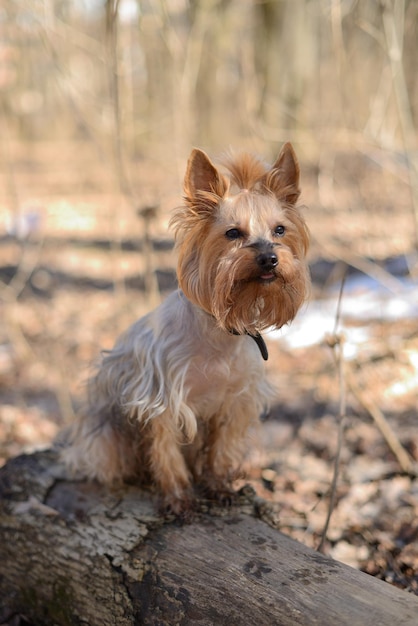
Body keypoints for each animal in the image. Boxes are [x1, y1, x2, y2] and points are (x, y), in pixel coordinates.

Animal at [62, 143, 310, 516]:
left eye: (279, 230)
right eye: (233, 233)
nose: (269, 257)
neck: (220, 332)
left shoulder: (234, 403)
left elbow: (221, 451)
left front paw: (219, 487)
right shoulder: (163, 400)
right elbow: (167, 454)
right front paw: (178, 498)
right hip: (106, 435)